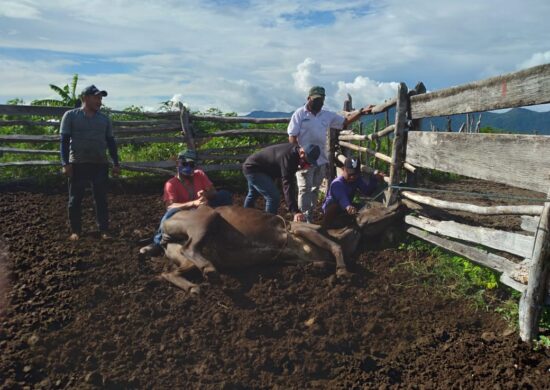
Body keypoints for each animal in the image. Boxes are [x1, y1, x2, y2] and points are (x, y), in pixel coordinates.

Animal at [155, 204, 402, 292]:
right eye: (374, 207)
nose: (397, 207)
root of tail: (165, 226)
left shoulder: (295, 257)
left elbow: (322, 260)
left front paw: (320, 268)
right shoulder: (302, 229)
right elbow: (334, 248)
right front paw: (343, 272)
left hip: (186, 259)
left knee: (168, 272)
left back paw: (192, 287)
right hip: (206, 218)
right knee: (190, 249)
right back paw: (209, 271)